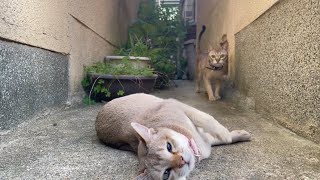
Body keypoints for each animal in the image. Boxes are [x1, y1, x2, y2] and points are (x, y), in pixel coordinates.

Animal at [95, 93, 250, 179]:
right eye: (166, 173)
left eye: (168, 146)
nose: (181, 160)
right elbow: (212, 136)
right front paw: (233, 136)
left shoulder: (177, 105)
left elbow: (208, 121)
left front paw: (229, 135)